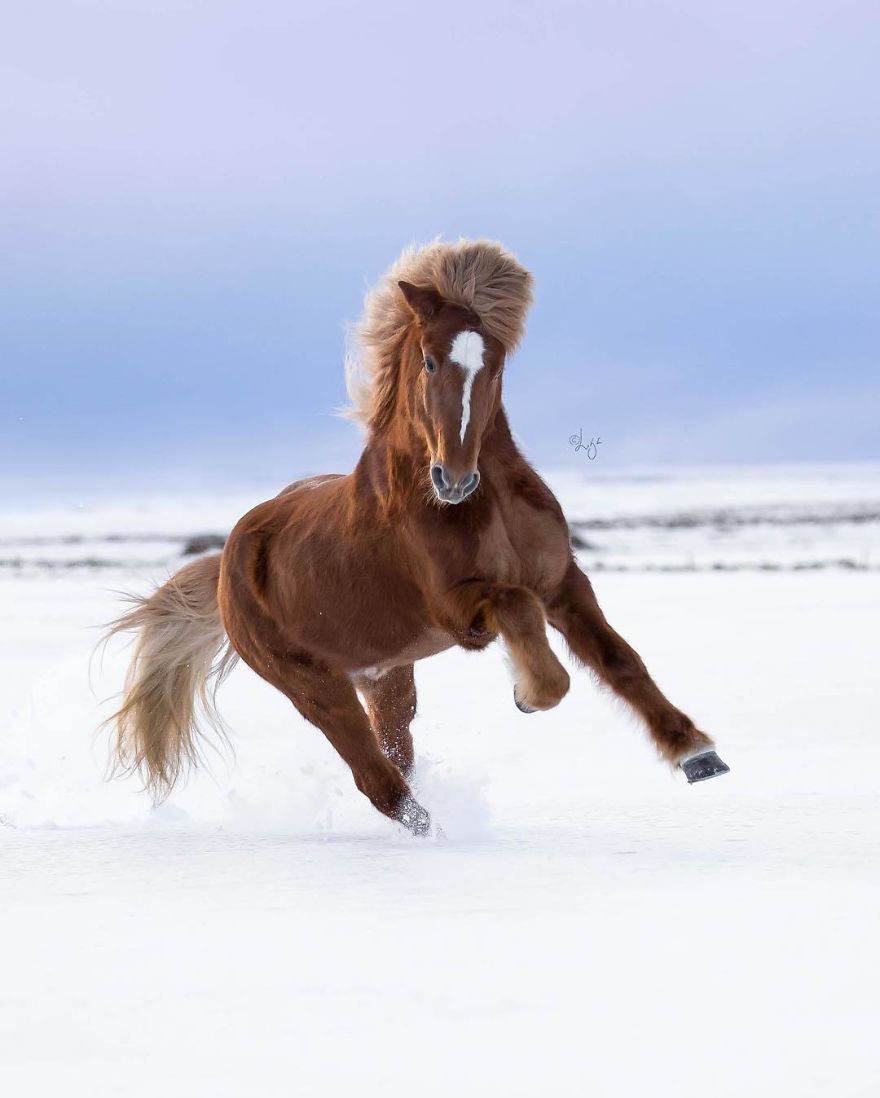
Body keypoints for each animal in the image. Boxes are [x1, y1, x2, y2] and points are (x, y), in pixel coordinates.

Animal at [107, 239, 729, 834]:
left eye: (496, 364)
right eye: (429, 361)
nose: (453, 479)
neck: (485, 504)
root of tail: (229, 560)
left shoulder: (563, 583)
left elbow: (621, 659)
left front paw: (697, 753)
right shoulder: (461, 610)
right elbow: (524, 618)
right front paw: (527, 694)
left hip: (386, 677)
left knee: (393, 751)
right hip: (312, 686)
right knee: (375, 777)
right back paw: (435, 830)